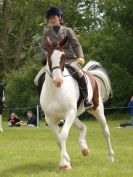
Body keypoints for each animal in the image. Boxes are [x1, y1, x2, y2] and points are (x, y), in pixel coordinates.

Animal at [39, 37, 114, 170]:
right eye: (48, 56)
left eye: (63, 56)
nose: (58, 81)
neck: (56, 91)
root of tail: (88, 73)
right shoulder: (50, 119)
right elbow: (58, 139)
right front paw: (66, 161)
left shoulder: (69, 113)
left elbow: (63, 135)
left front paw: (64, 165)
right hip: (74, 116)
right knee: (83, 127)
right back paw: (84, 148)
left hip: (96, 109)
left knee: (105, 131)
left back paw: (110, 157)